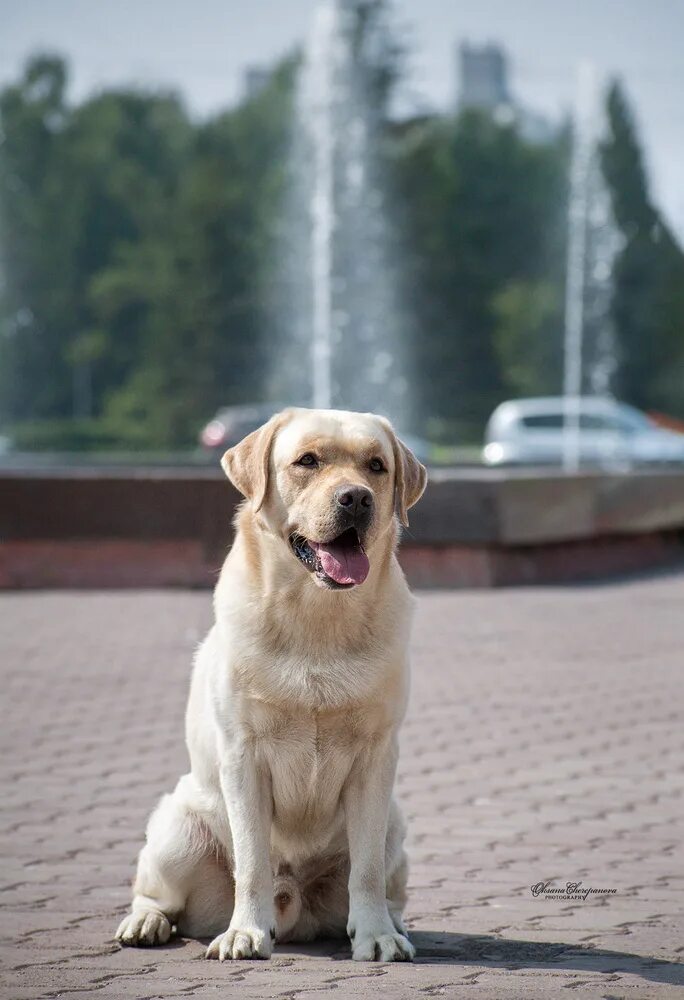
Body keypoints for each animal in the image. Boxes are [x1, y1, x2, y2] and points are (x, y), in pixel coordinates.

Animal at [117, 406, 428, 960]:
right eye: (307, 461)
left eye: (376, 466)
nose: (356, 498)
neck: (318, 617)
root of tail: (296, 910)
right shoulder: (243, 756)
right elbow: (253, 860)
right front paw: (245, 932)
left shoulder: (376, 758)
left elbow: (367, 870)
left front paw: (377, 936)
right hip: (178, 830)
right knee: (156, 893)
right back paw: (146, 922)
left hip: (396, 822)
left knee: (383, 881)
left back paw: (392, 924)